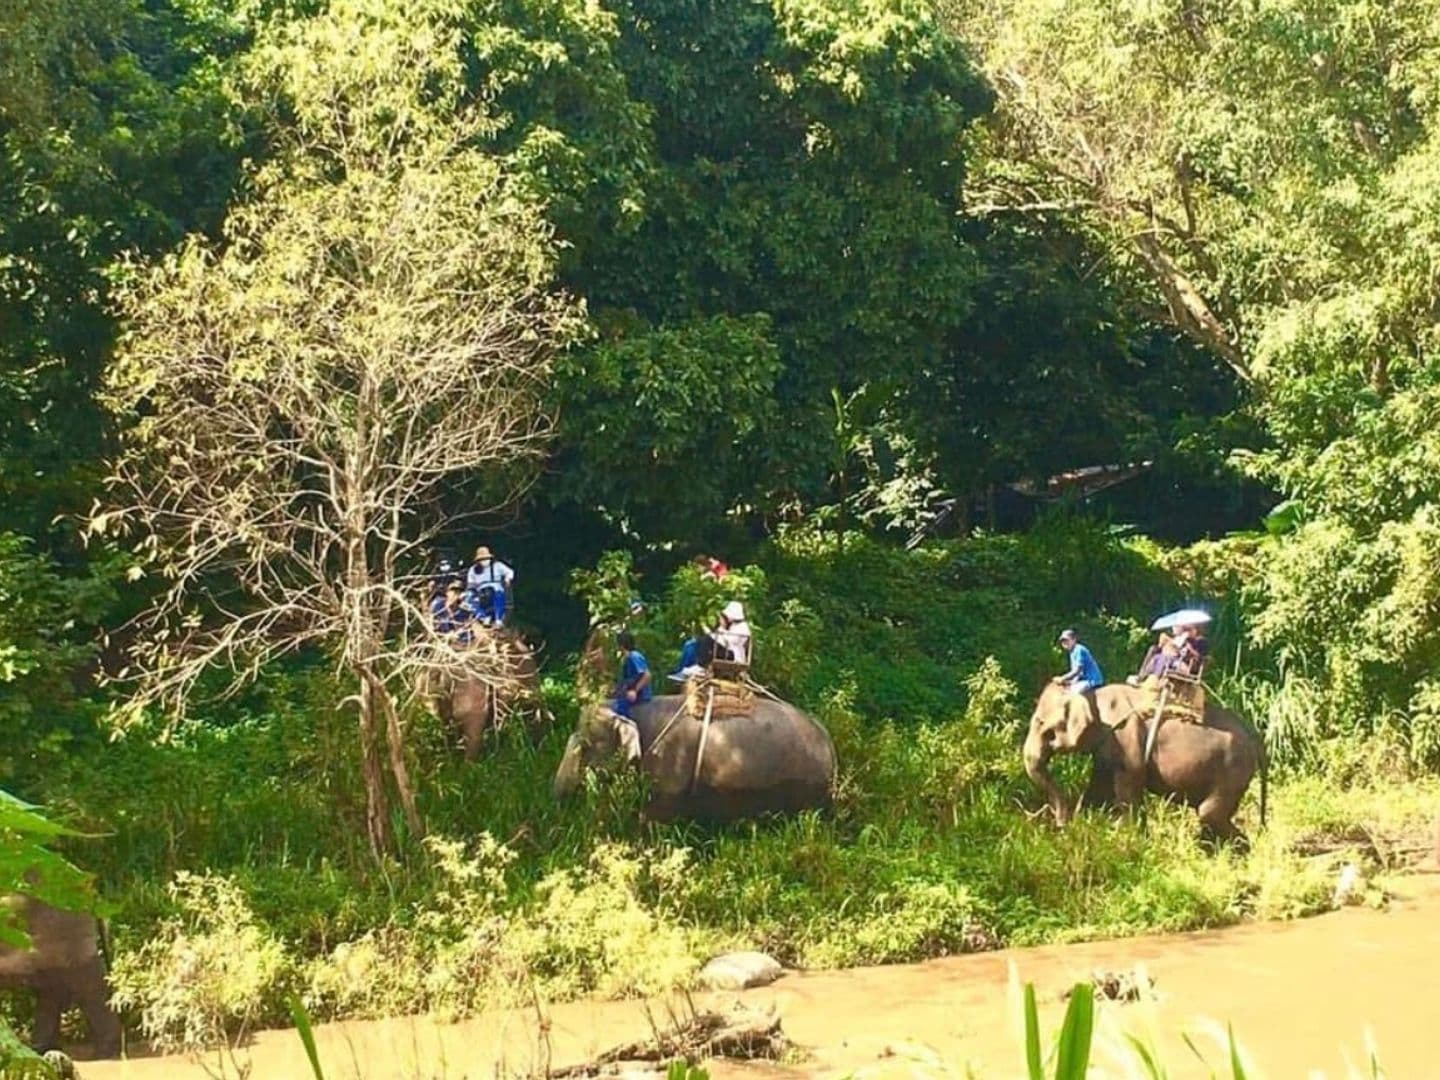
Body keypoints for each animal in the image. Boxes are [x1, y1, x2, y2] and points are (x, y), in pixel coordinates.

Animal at [1022, 682, 1266, 844]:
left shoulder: (1126, 738)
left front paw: (1124, 835)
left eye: (1041, 723)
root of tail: (1255, 736)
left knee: (1209, 813)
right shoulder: (1107, 747)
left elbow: (1128, 784)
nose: (1061, 826)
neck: (1092, 696)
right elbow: (1098, 787)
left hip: (1233, 770)